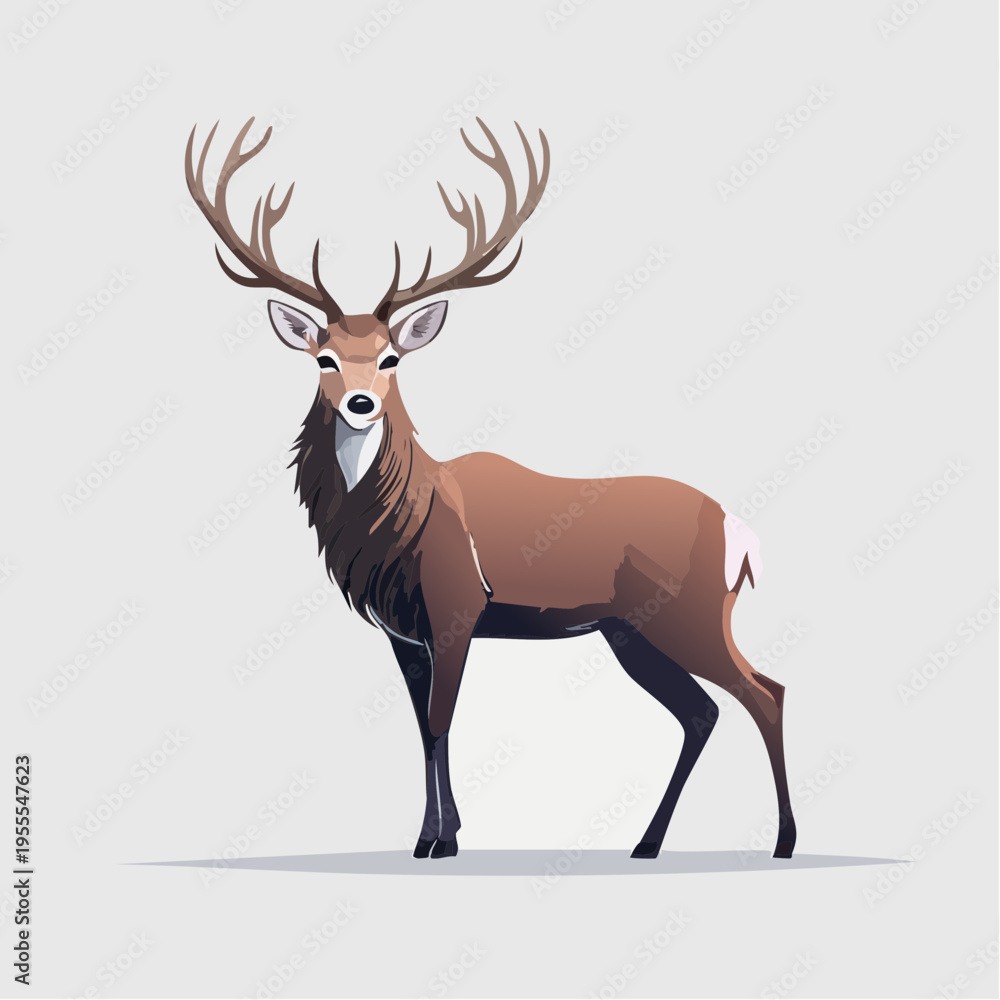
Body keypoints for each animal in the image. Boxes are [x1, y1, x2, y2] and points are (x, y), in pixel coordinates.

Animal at [184, 117, 797, 862]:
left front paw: (436, 843)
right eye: (323, 357)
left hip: (694, 613)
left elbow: (442, 720)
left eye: (392, 357)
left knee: (765, 691)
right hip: (630, 630)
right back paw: (648, 843)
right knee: (702, 711)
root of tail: (742, 534)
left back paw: (784, 840)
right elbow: (421, 726)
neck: (400, 526)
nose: (360, 403)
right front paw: (437, 834)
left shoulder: (458, 605)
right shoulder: (403, 630)